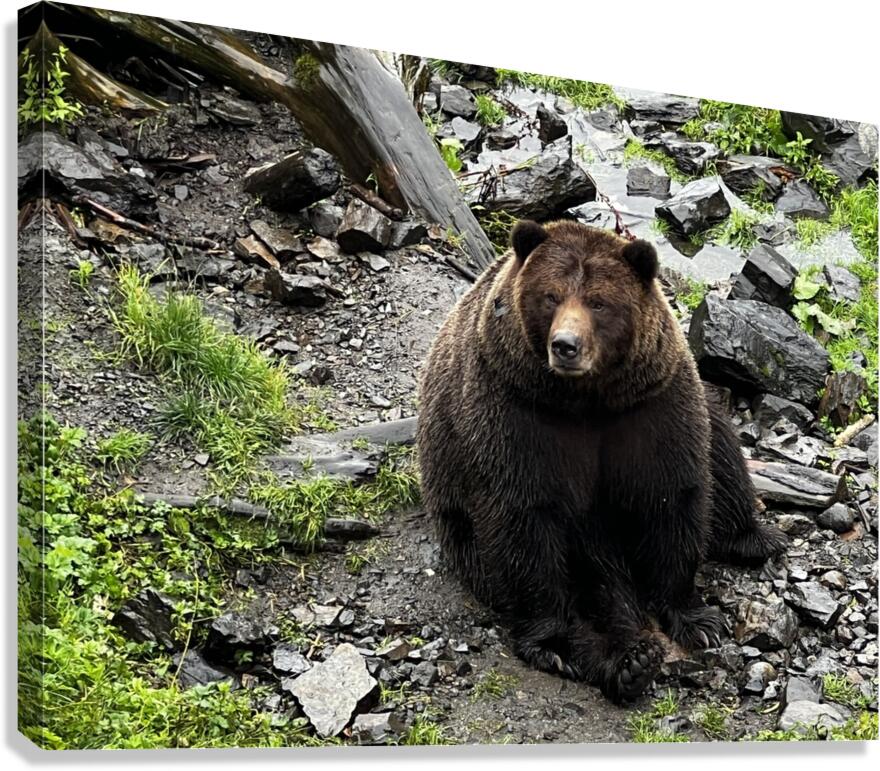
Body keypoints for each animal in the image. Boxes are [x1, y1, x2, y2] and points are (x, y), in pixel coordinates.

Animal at [416, 219, 787, 702]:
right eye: (550, 296)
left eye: (598, 301)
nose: (565, 345)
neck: (585, 400)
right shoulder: (514, 412)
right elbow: (526, 523)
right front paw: (556, 643)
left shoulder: (649, 407)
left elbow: (671, 496)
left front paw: (698, 619)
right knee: (589, 581)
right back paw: (628, 661)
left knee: (724, 455)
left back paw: (753, 538)